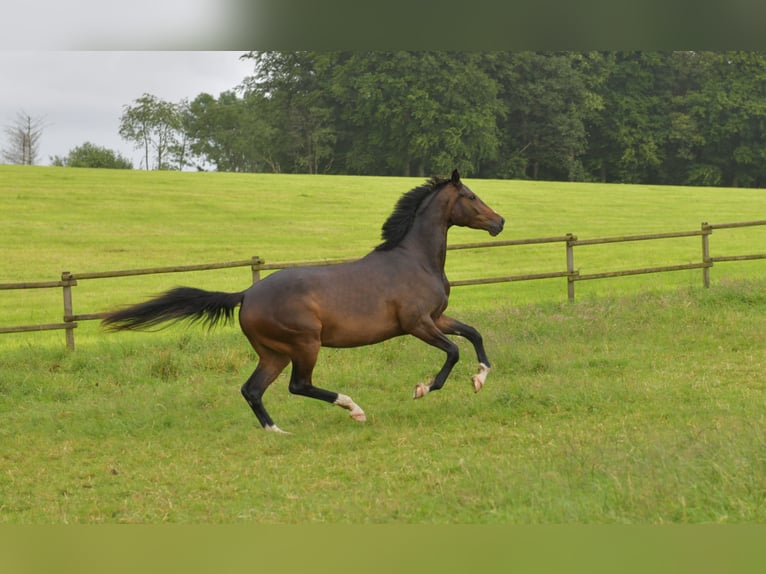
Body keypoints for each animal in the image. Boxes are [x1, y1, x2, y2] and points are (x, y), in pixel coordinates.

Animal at [103, 170, 510, 432]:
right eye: (471, 197)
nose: (500, 222)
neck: (416, 258)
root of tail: (246, 294)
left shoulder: (437, 318)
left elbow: (473, 334)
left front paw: (480, 378)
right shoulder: (417, 324)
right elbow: (453, 351)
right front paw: (423, 388)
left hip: (274, 353)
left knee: (252, 389)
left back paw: (277, 432)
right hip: (304, 344)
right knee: (298, 385)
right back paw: (353, 409)